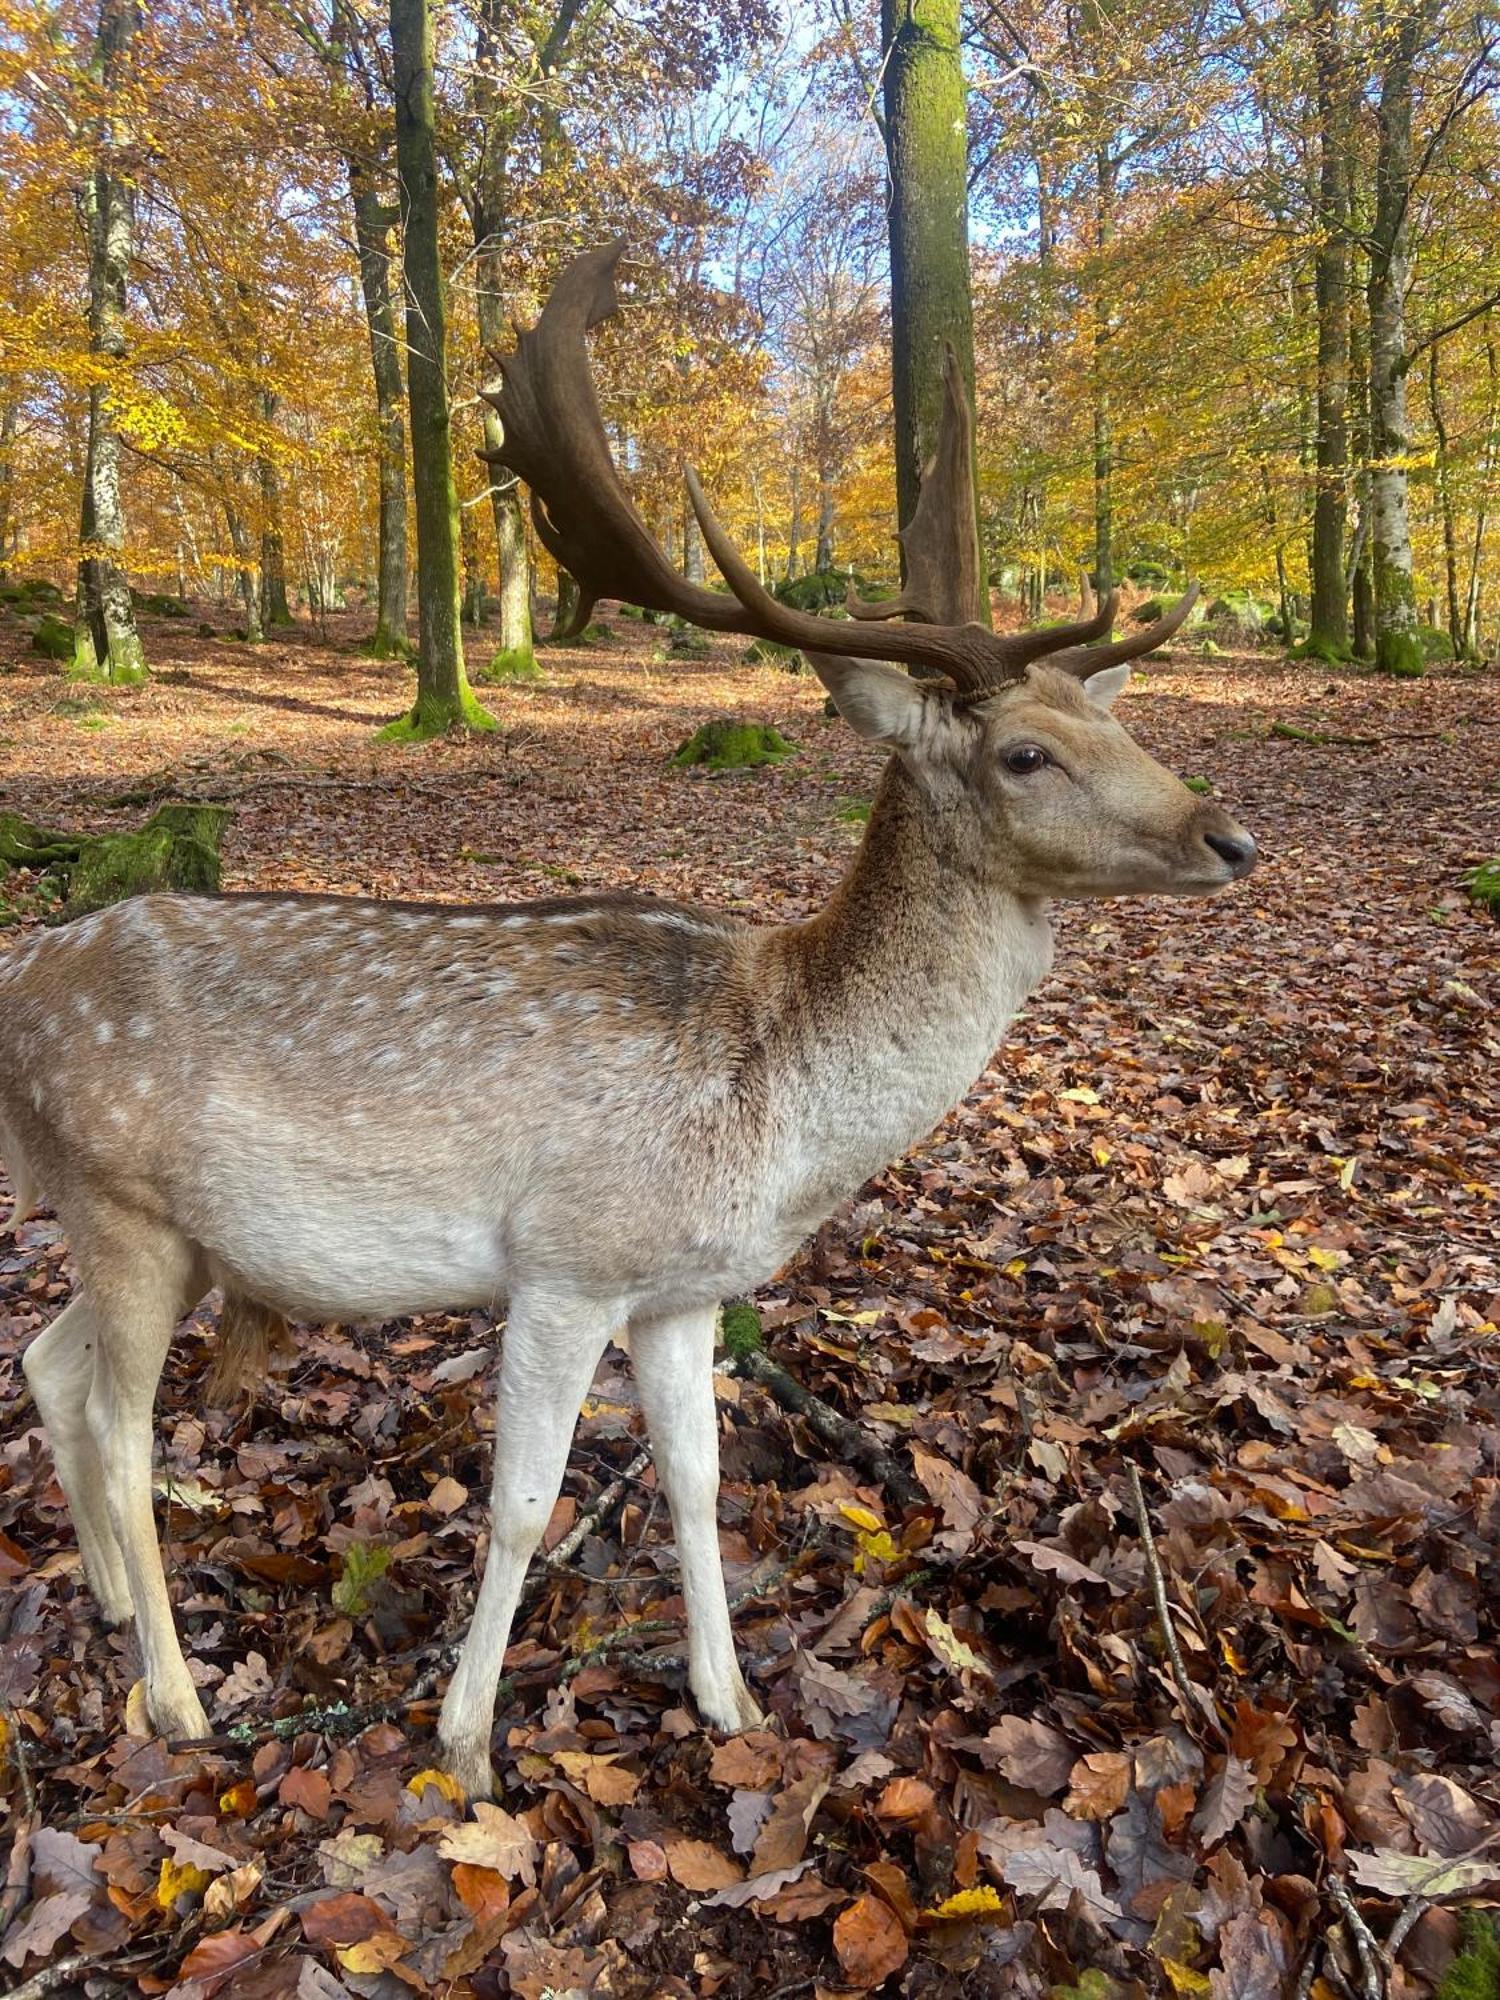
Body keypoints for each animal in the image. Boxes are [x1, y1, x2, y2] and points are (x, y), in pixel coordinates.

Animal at [2, 242, 1256, 1792]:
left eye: (1122, 725)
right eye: (1028, 754)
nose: (1227, 835)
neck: (777, 1104)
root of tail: (16, 982)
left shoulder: (680, 1288)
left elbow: (700, 1486)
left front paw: (731, 1702)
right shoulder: (568, 1258)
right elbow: (523, 1505)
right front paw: (468, 1738)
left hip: (134, 1227)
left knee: (46, 1365)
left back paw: (118, 1606)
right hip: (119, 1198)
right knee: (123, 1429)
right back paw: (173, 1698)